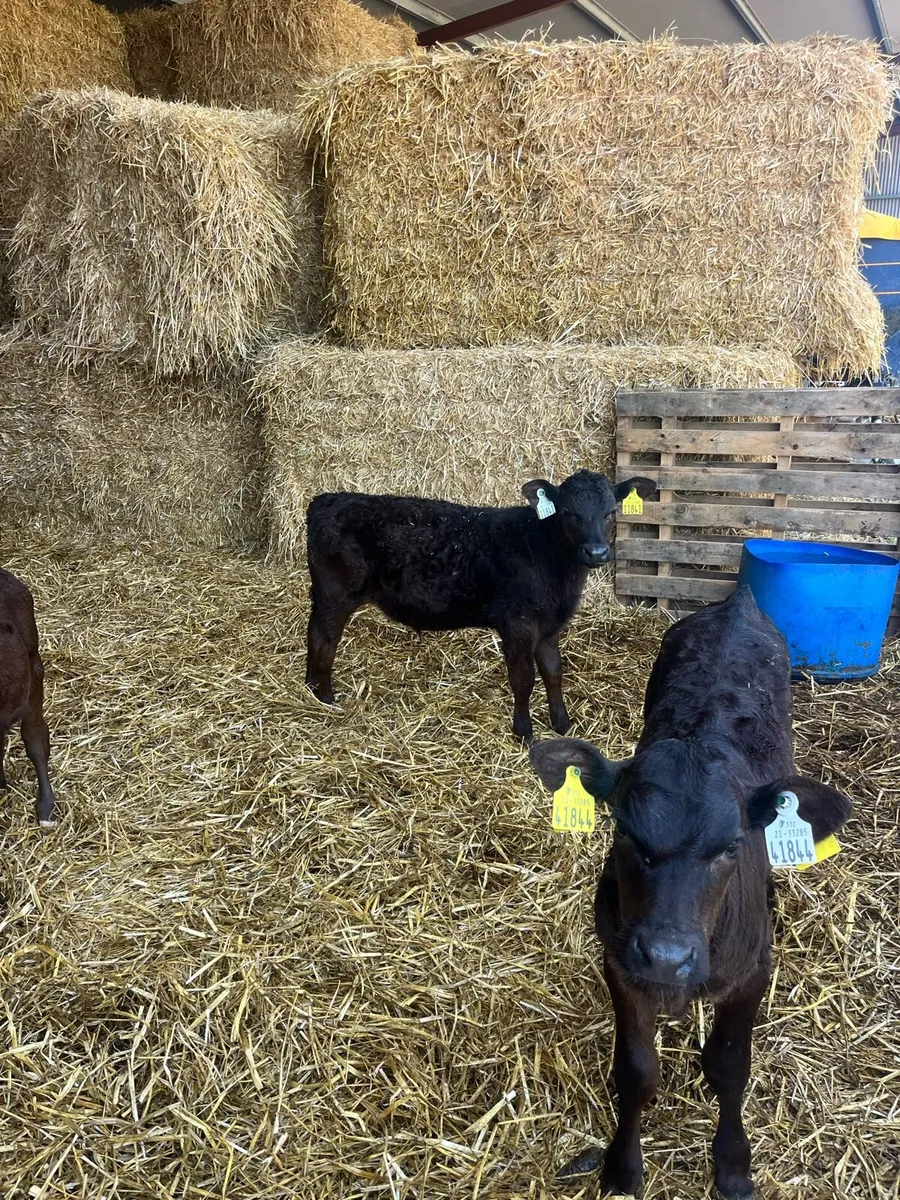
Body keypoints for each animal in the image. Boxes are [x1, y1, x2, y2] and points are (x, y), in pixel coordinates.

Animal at [304, 470, 656, 742]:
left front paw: (562, 724)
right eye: (568, 513)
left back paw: (311, 689)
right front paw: (524, 733)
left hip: (323, 594)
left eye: (611, 511)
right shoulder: (518, 623)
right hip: (337, 594)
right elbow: (523, 679)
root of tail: (327, 499)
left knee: (313, 635)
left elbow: (554, 672)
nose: (596, 552)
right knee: (324, 642)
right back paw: (327, 699)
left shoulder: (548, 625)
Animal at [529, 586, 851, 1198]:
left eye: (731, 846)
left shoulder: (752, 970)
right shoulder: (620, 963)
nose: (666, 956)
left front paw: (733, 1164)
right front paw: (621, 1165)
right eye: (624, 830)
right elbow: (636, 1071)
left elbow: (728, 1065)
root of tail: (737, 601)